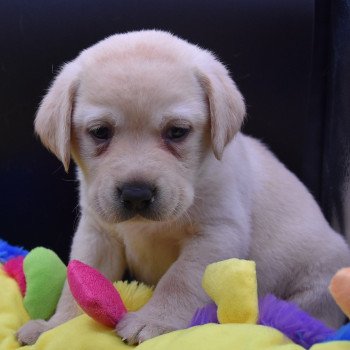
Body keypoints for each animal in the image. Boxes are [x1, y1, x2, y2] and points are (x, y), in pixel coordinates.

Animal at [17, 30, 350, 344]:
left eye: (177, 132)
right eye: (100, 132)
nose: (136, 195)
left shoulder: (216, 235)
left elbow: (179, 280)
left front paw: (154, 321)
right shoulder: (98, 232)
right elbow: (79, 281)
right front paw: (57, 326)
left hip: (316, 284)